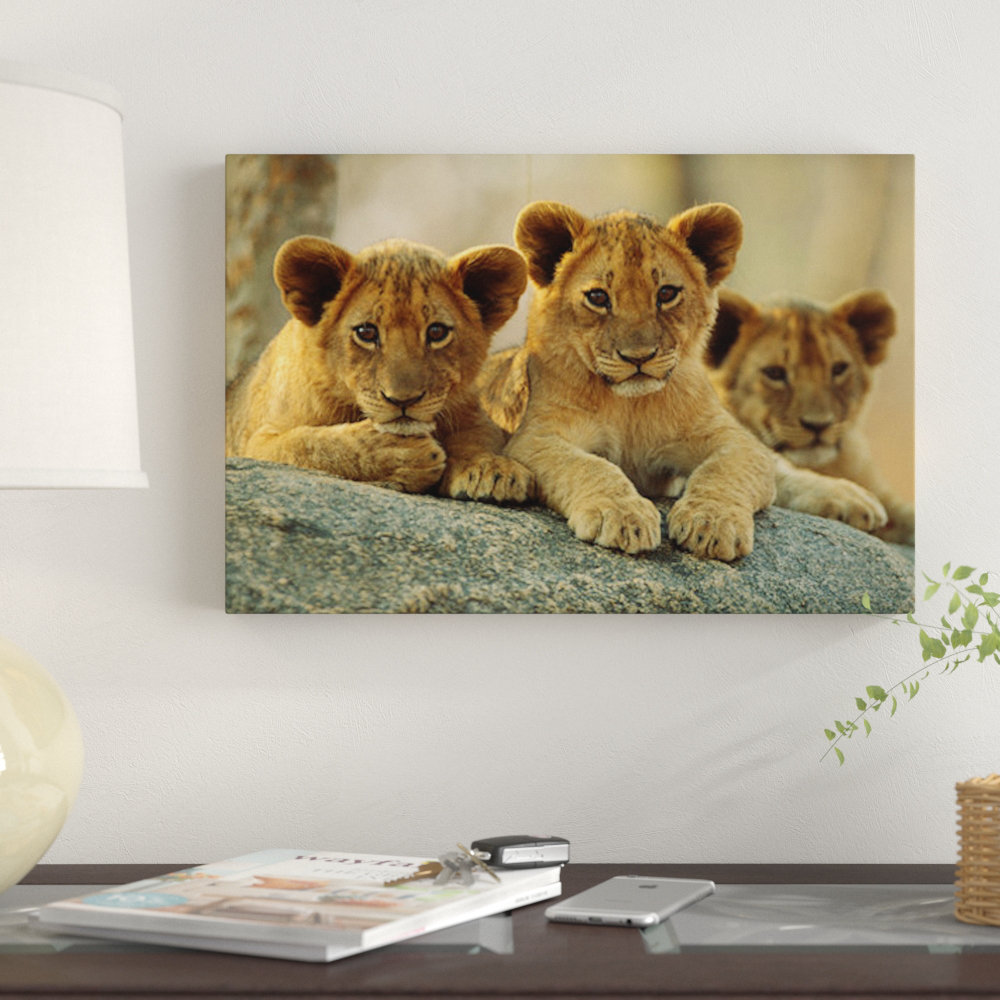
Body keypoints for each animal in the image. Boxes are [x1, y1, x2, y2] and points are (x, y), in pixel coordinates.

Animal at [226, 236, 534, 502]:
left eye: (436, 332)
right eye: (366, 332)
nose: (403, 400)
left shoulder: (474, 416)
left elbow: (478, 439)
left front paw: (491, 469)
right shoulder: (259, 442)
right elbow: (310, 445)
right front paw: (401, 454)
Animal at [478, 200, 776, 560]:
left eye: (667, 293)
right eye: (598, 297)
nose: (638, 357)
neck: (629, 407)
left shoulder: (740, 442)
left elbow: (723, 471)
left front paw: (711, 522)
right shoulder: (534, 437)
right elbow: (589, 466)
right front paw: (622, 515)